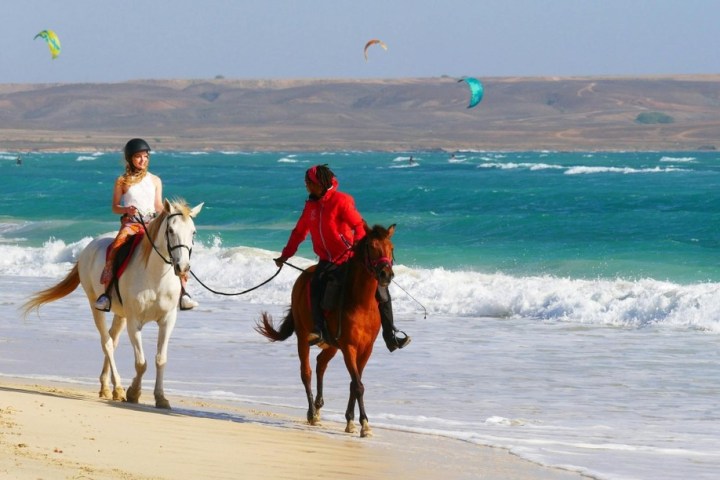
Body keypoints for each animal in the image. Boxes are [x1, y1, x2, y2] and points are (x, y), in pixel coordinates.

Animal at [22, 198, 203, 409]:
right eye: (171, 230)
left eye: (193, 232)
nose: (183, 267)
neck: (155, 276)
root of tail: (90, 246)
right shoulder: (134, 322)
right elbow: (141, 363)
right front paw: (133, 392)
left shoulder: (167, 320)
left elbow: (160, 359)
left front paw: (161, 398)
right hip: (96, 306)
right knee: (107, 343)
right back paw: (117, 389)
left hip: (120, 313)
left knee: (112, 340)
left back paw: (106, 387)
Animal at [255, 222, 395, 438]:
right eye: (372, 247)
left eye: (391, 248)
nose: (386, 275)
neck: (362, 303)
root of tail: (305, 274)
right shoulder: (349, 347)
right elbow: (358, 385)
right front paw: (363, 424)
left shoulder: (365, 349)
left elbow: (354, 383)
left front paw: (351, 421)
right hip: (304, 337)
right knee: (306, 372)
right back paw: (312, 413)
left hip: (332, 344)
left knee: (321, 363)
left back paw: (318, 406)